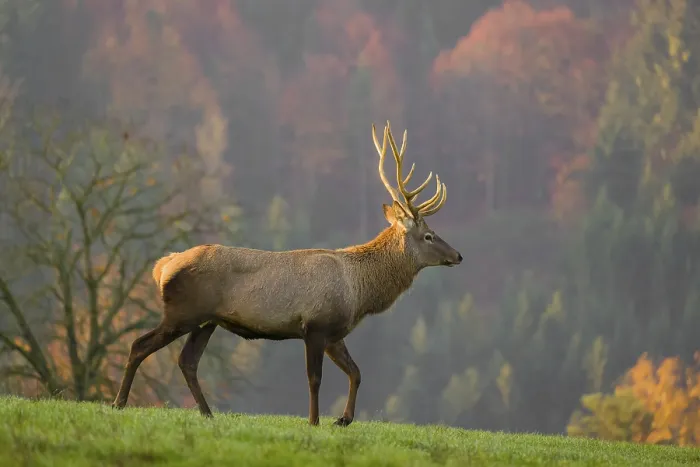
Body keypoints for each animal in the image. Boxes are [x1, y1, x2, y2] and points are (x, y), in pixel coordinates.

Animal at [111, 120, 462, 426]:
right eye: (428, 236)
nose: (458, 255)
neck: (360, 292)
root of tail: (162, 266)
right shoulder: (315, 325)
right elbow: (315, 379)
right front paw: (314, 421)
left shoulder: (334, 333)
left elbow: (356, 372)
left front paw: (344, 419)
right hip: (182, 312)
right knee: (140, 345)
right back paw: (119, 402)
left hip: (206, 321)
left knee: (187, 361)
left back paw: (207, 414)